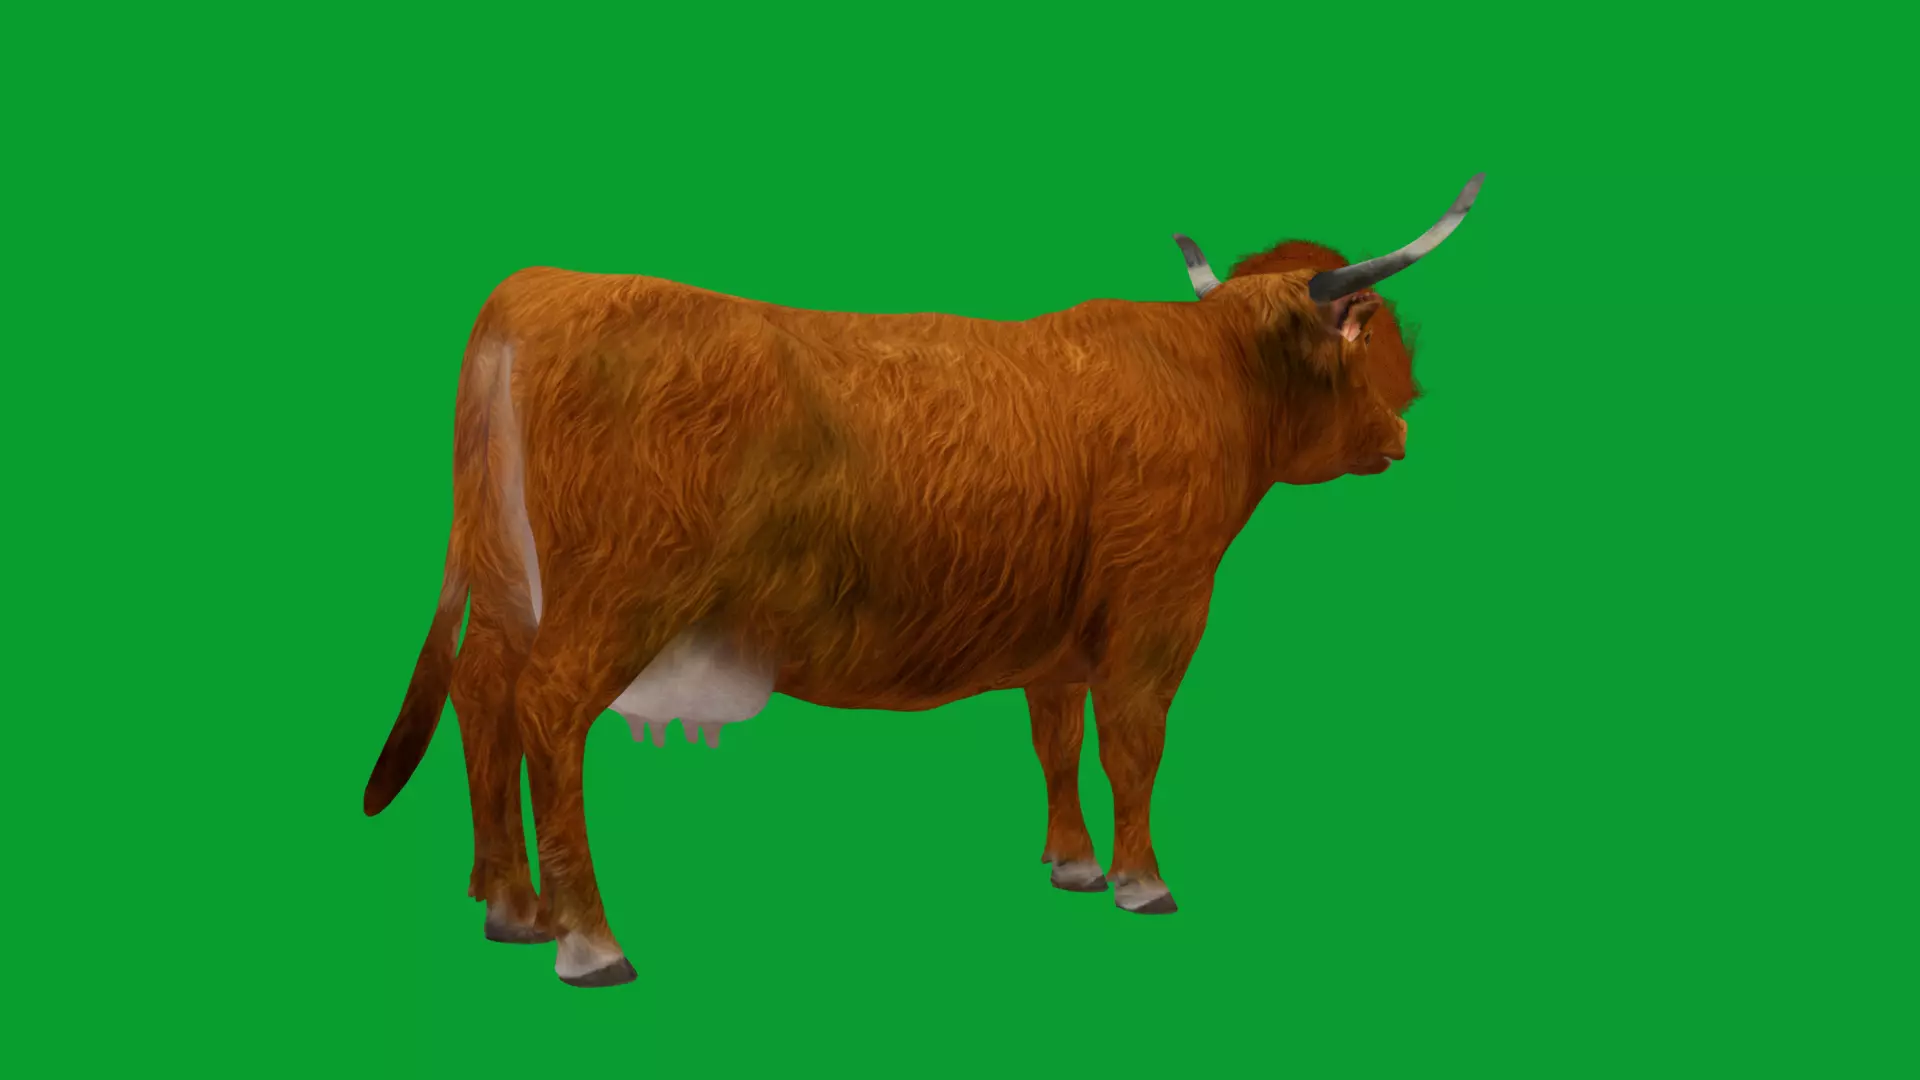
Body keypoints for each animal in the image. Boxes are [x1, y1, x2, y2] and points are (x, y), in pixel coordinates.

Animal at [363, 175, 1484, 988]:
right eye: (1373, 332)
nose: (1406, 425)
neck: (1213, 376)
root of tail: (546, 283)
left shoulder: (1060, 632)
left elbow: (1055, 738)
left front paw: (1073, 863)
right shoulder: (1157, 612)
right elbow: (1133, 745)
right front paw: (1142, 879)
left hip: (508, 592)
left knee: (483, 699)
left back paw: (513, 906)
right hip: (615, 602)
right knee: (546, 714)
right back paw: (589, 939)